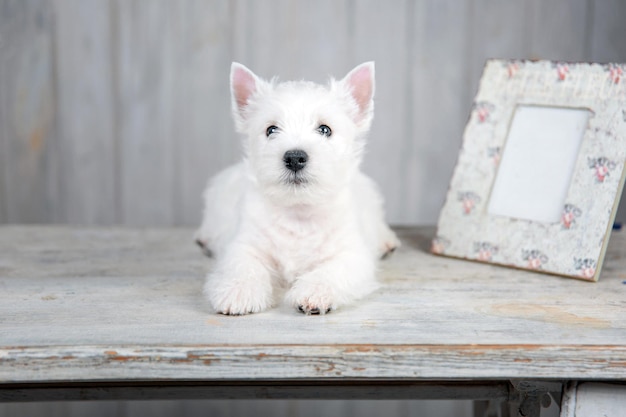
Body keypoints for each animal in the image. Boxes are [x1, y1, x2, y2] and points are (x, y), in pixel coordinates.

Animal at [195, 62, 398, 316]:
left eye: (325, 129)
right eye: (271, 130)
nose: (294, 157)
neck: (299, 212)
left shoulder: (351, 254)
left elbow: (331, 270)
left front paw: (313, 294)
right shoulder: (245, 244)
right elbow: (243, 265)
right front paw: (238, 291)